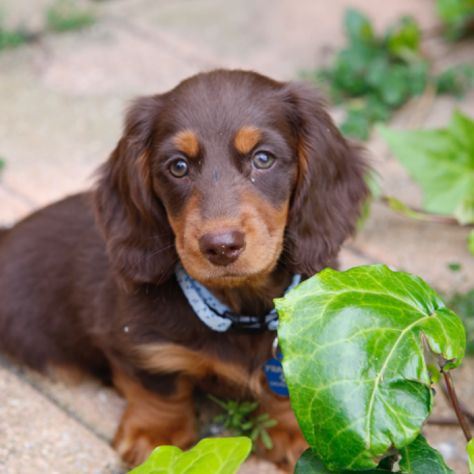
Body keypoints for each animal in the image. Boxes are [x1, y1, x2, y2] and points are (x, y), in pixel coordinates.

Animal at [0, 68, 368, 468]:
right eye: (178, 166)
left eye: (263, 158)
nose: (220, 246)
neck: (236, 309)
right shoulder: (138, 341)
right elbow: (159, 386)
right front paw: (156, 436)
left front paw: (291, 428)